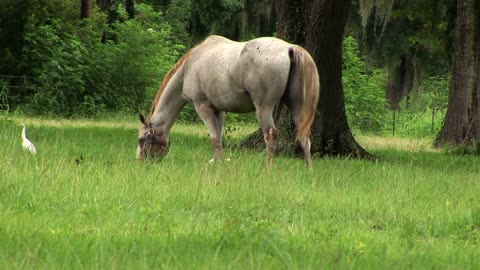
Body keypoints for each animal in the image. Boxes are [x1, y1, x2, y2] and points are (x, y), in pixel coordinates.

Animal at [137, 35, 320, 167]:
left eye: (140, 140)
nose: (140, 162)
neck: (190, 66)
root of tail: (289, 48)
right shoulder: (219, 110)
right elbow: (219, 137)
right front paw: (221, 163)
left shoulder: (202, 107)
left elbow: (214, 139)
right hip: (296, 105)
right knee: (304, 136)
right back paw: (309, 169)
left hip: (264, 107)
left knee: (270, 134)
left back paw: (268, 168)